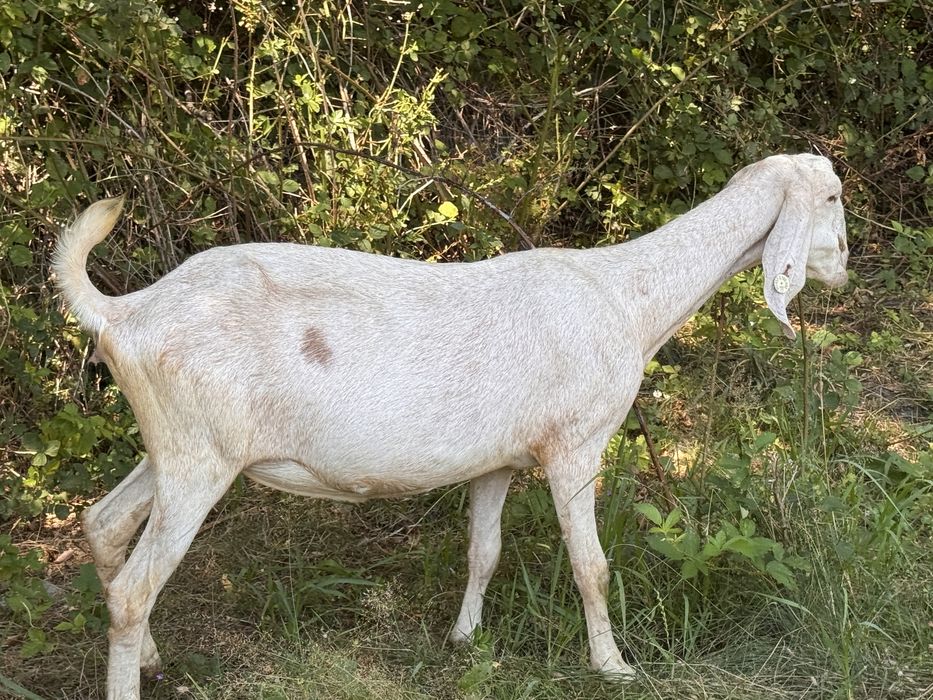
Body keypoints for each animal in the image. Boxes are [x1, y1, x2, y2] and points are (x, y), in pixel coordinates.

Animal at [53, 153, 848, 699]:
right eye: (834, 197)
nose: (842, 268)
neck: (626, 299)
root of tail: (122, 314)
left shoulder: (496, 460)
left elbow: (483, 552)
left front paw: (464, 638)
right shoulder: (577, 444)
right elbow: (590, 566)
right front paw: (614, 667)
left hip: (175, 448)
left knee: (103, 523)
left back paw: (153, 656)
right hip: (199, 459)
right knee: (132, 589)